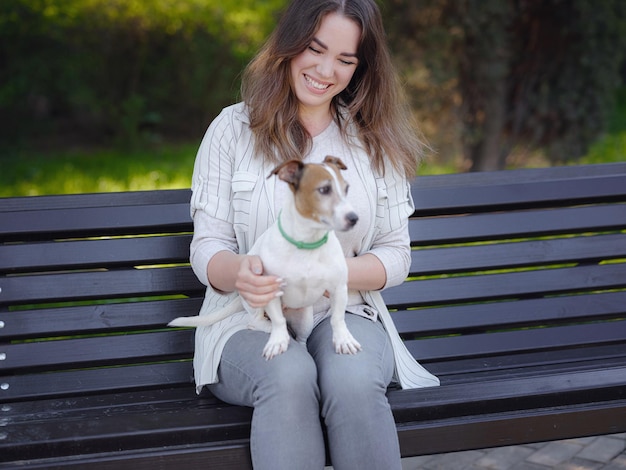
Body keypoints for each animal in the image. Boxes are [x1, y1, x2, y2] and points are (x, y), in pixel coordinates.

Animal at [168, 156, 360, 358]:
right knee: (257, 322)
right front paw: (278, 340)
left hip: (305, 318)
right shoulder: (269, 290)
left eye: (346, 188)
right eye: (324, 190)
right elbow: (278, 321)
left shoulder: (339, 288)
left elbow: (337, 318)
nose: (354, 218)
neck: (307, 243)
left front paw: (343, 339)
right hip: (256, 303)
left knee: (301, 337)